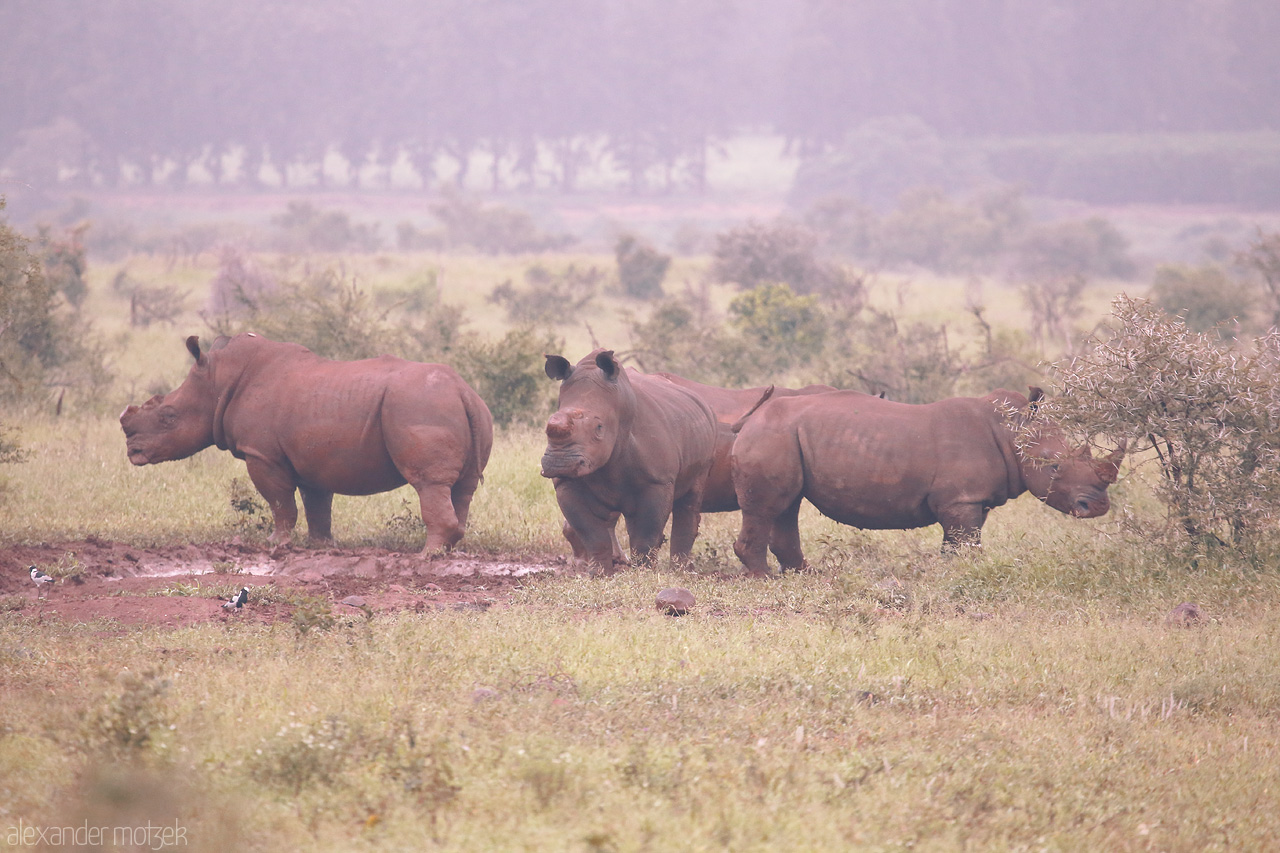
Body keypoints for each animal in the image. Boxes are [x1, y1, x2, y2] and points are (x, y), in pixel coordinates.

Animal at [120, 334, 493, 553]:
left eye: (168, 416)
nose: (132, 452)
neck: (217, 381)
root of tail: (462, 390)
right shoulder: (313, 456)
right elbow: (317, 505)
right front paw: (322, 546)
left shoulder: (262, 454)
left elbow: (280, 502)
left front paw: (276, 544)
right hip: (469, 409)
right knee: (462, 488)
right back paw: (447, 550)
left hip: (420, 405)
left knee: (428, 483)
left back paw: (426, 556)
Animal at [541, 349, 717, 571]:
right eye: (548, 424)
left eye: (599, 428)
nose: (560, 463)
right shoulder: (567, 483)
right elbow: (593, 536)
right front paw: (599, 574)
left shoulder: (658, 481)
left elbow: (646, 536)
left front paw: (643, 573)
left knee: (690, 499)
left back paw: (680, 570)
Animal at [731, 387, 1123, 577]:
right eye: (1054, 467)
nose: (1097, 506)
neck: (1011, 430)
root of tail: (750, 419)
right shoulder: (962, 499)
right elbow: (967, 541)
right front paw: (972, 571)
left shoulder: (967, 500)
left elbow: (956, 542)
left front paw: (952, 571)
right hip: (773, 435)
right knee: (767, 508)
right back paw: (762, 578)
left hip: (783, 435)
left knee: (787, 505)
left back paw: (805, 574)